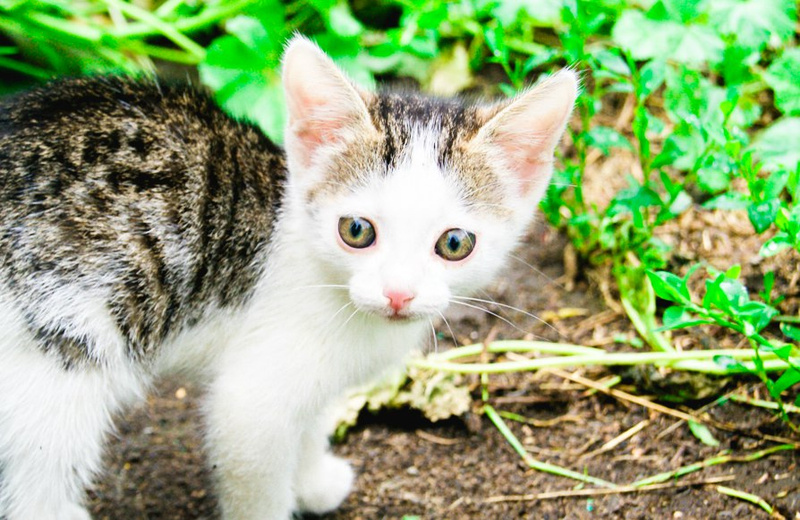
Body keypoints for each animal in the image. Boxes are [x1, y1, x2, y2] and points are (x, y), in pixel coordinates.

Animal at [0, 36, 577, 519]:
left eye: (454, 244)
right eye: (357, 231)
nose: (398, 294)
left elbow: (311, 422)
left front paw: (313, 480)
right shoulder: (250, 403)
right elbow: (255, 467)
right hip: (64, 347)